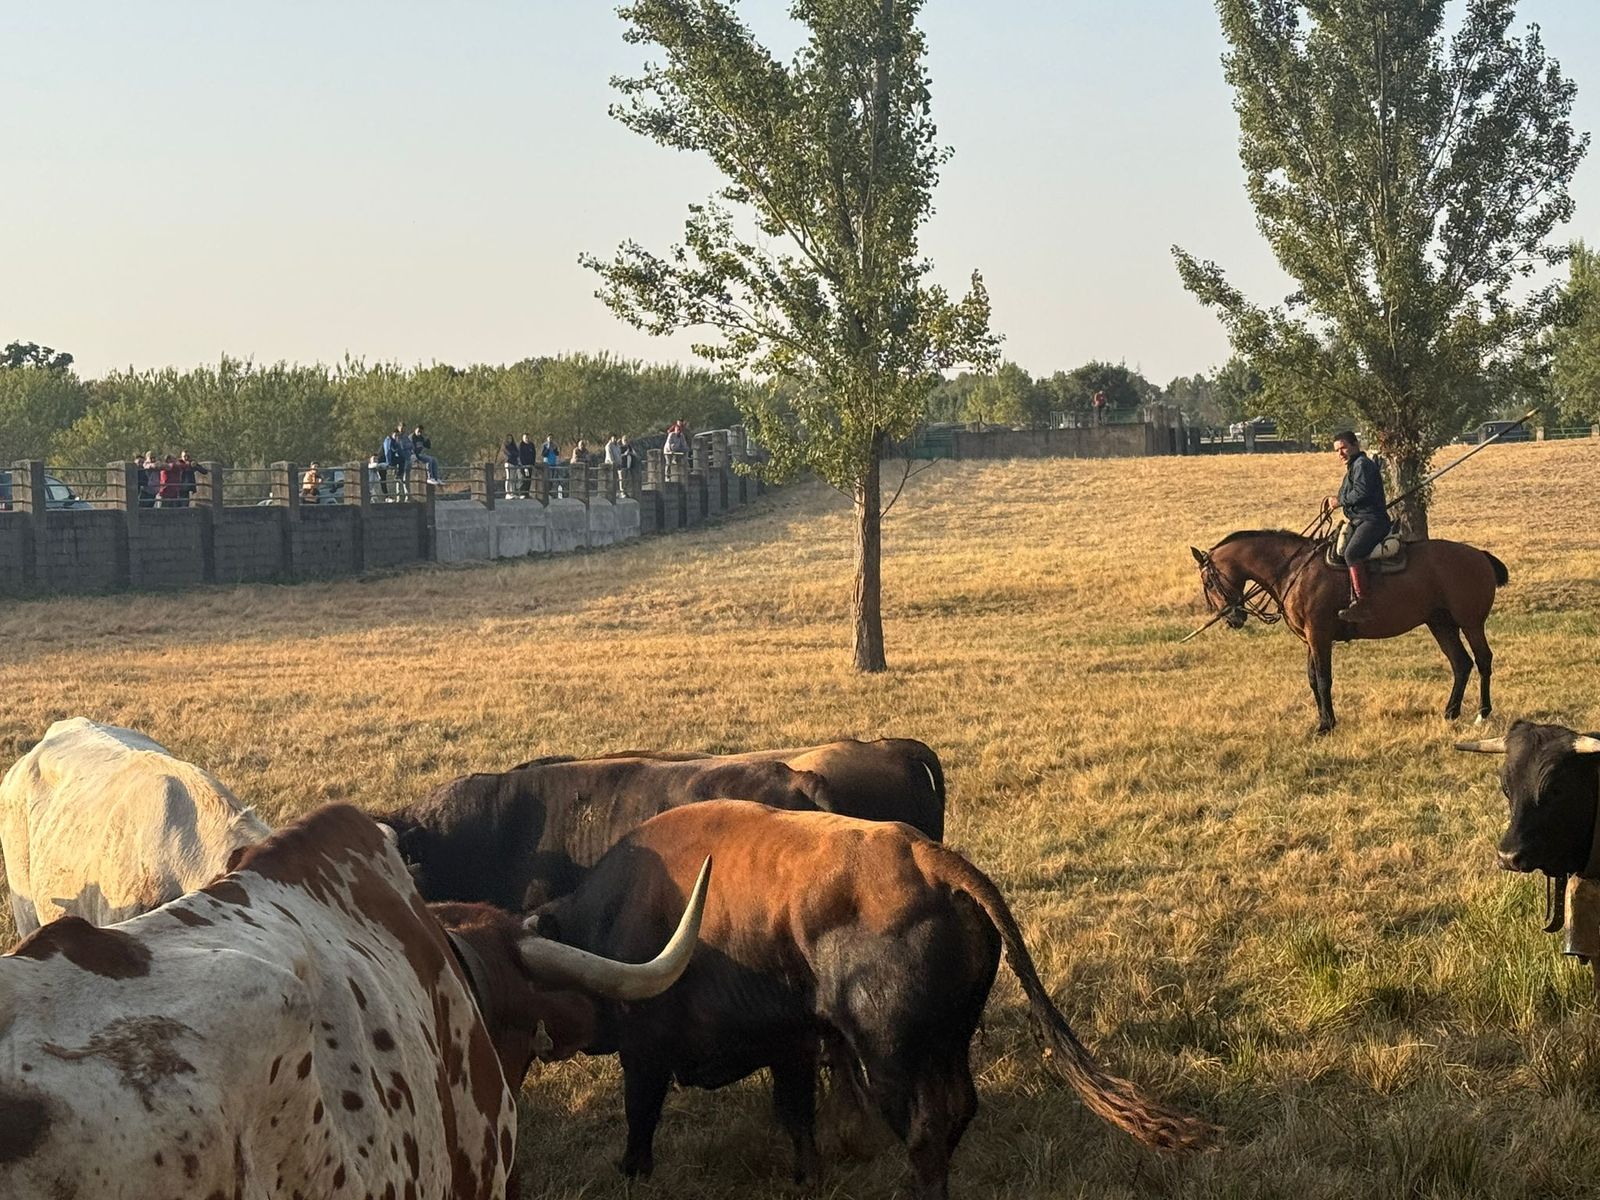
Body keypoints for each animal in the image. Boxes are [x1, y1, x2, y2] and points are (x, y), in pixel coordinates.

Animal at [1189, 530, 1508, 734]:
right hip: (1440, 624)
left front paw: (1326, 725)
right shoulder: (1310, 639)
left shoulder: (1319, 636)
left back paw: (1482, 713)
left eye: (1208, 582)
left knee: (1482, 660)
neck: (1295, 569)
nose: (1233, 618)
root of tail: (1479, 555)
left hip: (1470, 623)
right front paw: (1323, 719)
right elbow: (1312, 680)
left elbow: (1323, 679)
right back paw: (1450, 712)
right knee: (1461, 663)